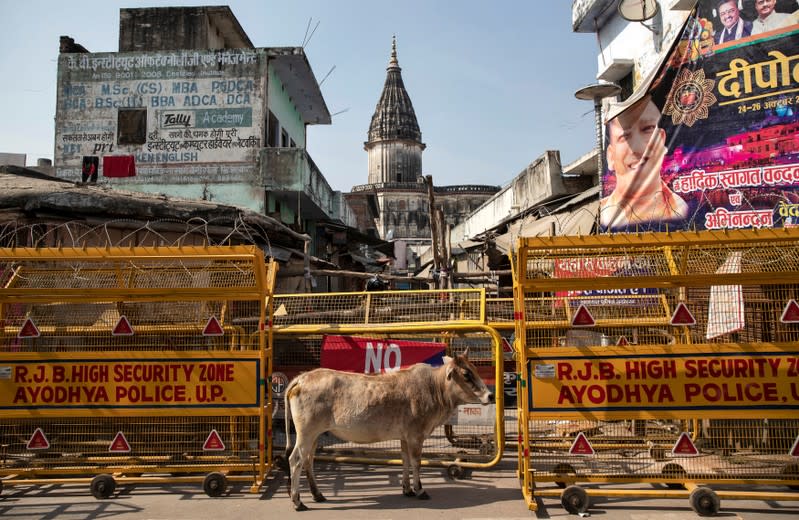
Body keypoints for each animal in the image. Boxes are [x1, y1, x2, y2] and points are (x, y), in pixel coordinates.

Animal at [282, 350, 494, 512]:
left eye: (475, 370)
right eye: (466, 374)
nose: (490, 395)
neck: (435, 388)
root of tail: (302, 378)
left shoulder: (405, 437)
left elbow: (405, 460)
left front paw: (407, 489)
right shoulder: (416, 436)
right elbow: (416, 462)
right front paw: (420, 490)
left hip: (314, 436)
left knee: (308, 460)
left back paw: (317, 494)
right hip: (306, 433)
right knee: (296, 460)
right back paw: (298, 501)